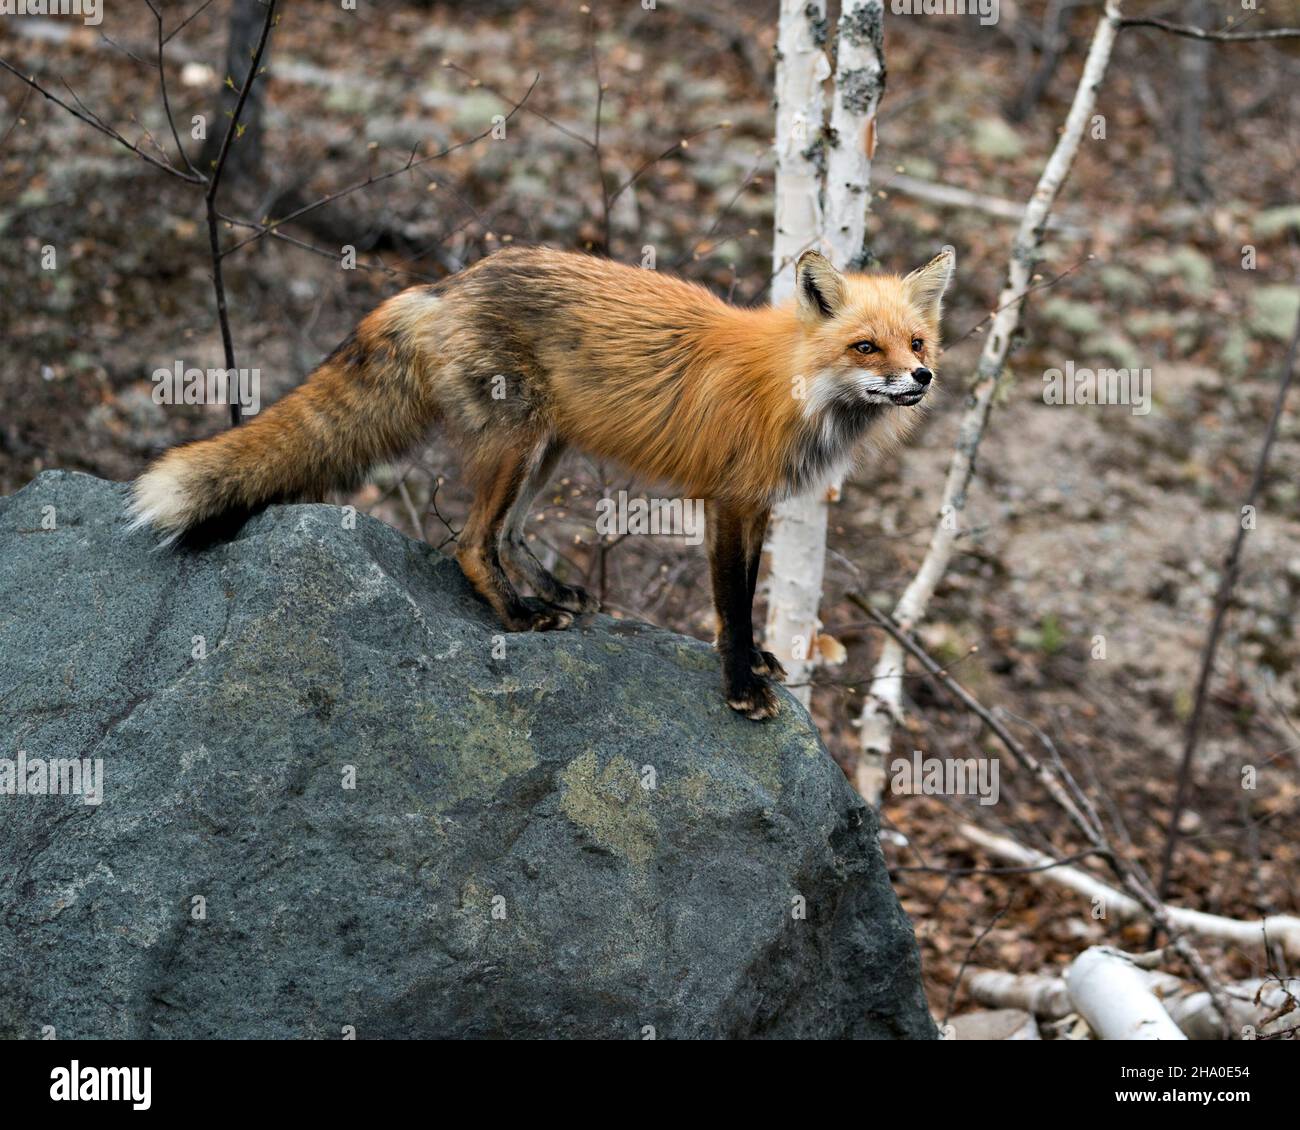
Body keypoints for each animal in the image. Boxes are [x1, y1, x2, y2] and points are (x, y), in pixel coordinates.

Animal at [126, 248, 951, 722]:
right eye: (865, 346)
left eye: (917, 341)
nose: (921, 377)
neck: (794, 389)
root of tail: (446, 284)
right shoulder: (728, 502)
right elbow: (733, 603)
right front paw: (741, 685)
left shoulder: (757, 508)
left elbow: (744, 598)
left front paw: (757, 665)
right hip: (517, 444)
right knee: (469, 542)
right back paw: (520, 615)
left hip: (547, 448)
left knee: (510, 532)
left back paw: (552, 592)